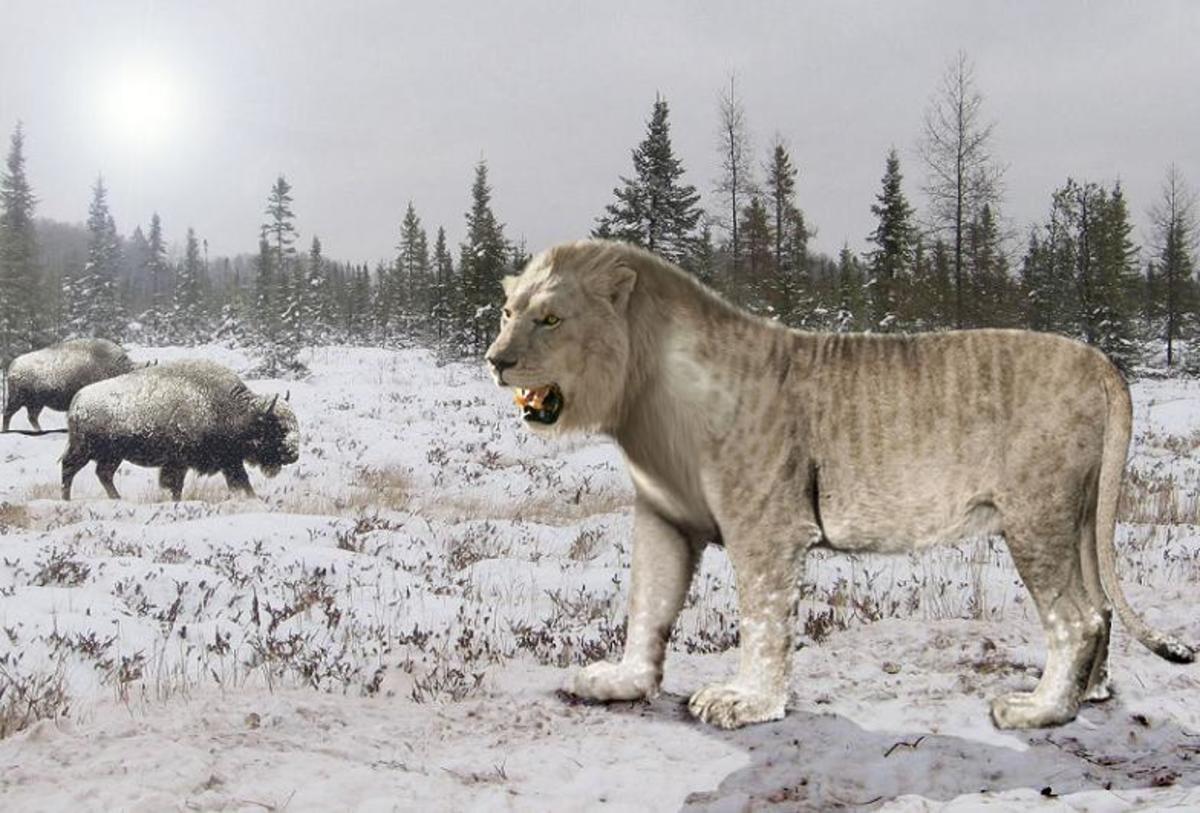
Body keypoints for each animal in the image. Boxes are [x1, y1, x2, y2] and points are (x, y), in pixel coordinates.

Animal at [485, 239, 1194, 730]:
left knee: (1076, 617)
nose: (496, 360)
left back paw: (1039, 710)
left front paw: (747, 702)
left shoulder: (768, 526)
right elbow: (647, 605)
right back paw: (1090, 693)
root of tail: (1099, 359)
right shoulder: (662, 516)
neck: (642, 402)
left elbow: (762, 621)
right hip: (1078, 520)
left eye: (551, 320)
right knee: (1101, 607)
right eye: (507, 311)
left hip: (1035, 516)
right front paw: (624, 682)